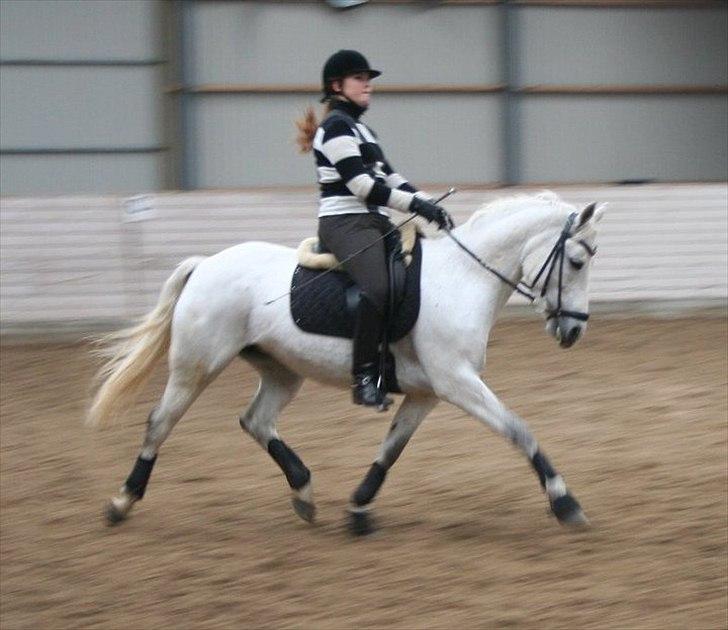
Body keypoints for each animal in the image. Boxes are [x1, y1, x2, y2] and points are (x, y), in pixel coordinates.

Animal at [88, 191, 604, 535]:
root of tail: (207, 263)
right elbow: (519, 430)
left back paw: (303, 492)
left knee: (256, 420)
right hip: (196, 364)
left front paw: (358, 508)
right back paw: (122, 501)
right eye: (578, 262)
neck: (463, 278)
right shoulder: (457, 382)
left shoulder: (427, 392)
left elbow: (391, 449)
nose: (574, 331)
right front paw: (565, 501)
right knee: (160, 422)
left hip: (281, 371)